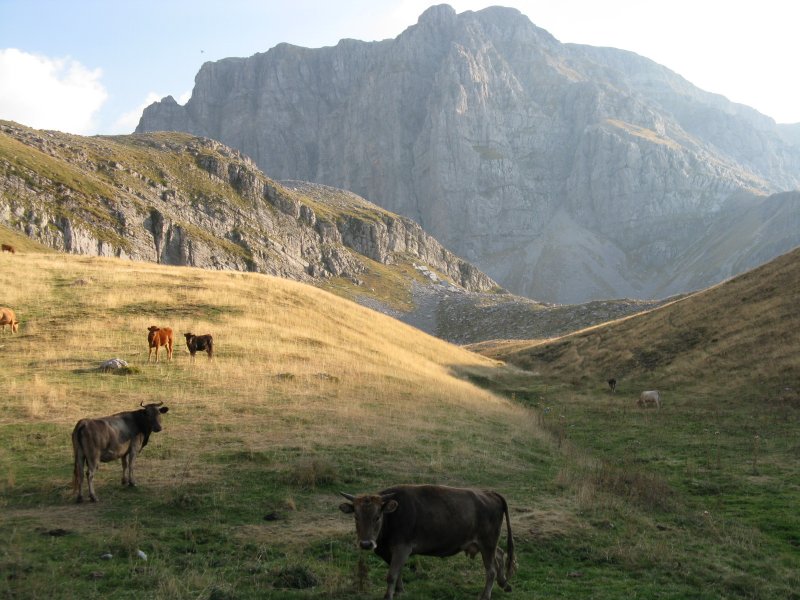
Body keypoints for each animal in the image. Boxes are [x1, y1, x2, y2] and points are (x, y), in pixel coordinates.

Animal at [336, 482, 512, 600]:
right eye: (356, 516)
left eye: (377, 516)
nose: (366, 544)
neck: (392, 516)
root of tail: (490, 493)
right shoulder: (391, 552)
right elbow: (398, 572)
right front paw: (400, 591)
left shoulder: (402, 549)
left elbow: (392, 575)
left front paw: (389, 596)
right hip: (485, 544)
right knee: (500, 554)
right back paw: (504, 583)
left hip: (487, 543)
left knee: (491, 570)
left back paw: (486, 595)